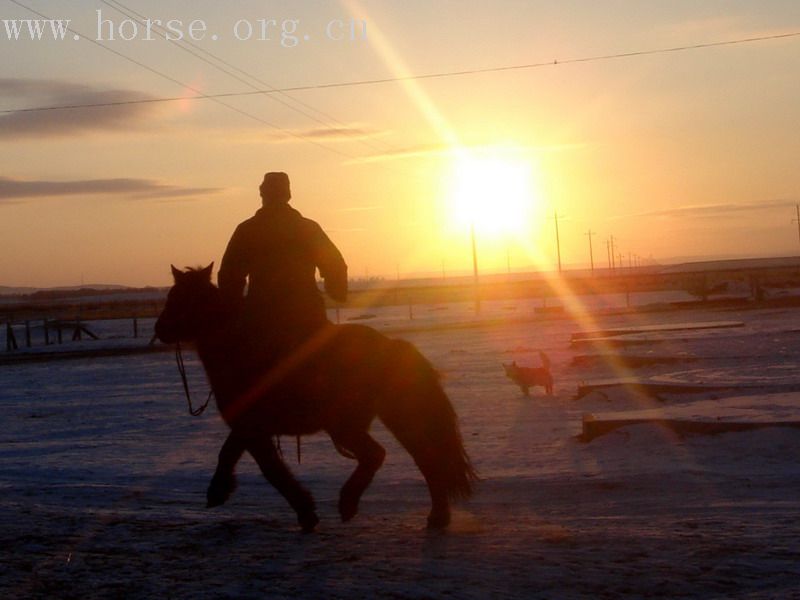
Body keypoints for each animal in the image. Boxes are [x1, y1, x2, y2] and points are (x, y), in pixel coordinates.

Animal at [156, 264, 476, 532]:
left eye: (180, 298)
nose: (159, 330)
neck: (240, 349)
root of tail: (392, 345)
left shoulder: (251, 426)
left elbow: (263, 467)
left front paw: (303, 511)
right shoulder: (252, 429)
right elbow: (248, 459)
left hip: (346, 424)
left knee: (381, 455)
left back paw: (350, 503)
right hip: (391, 416)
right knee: (425, 458)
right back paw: (437, 516)